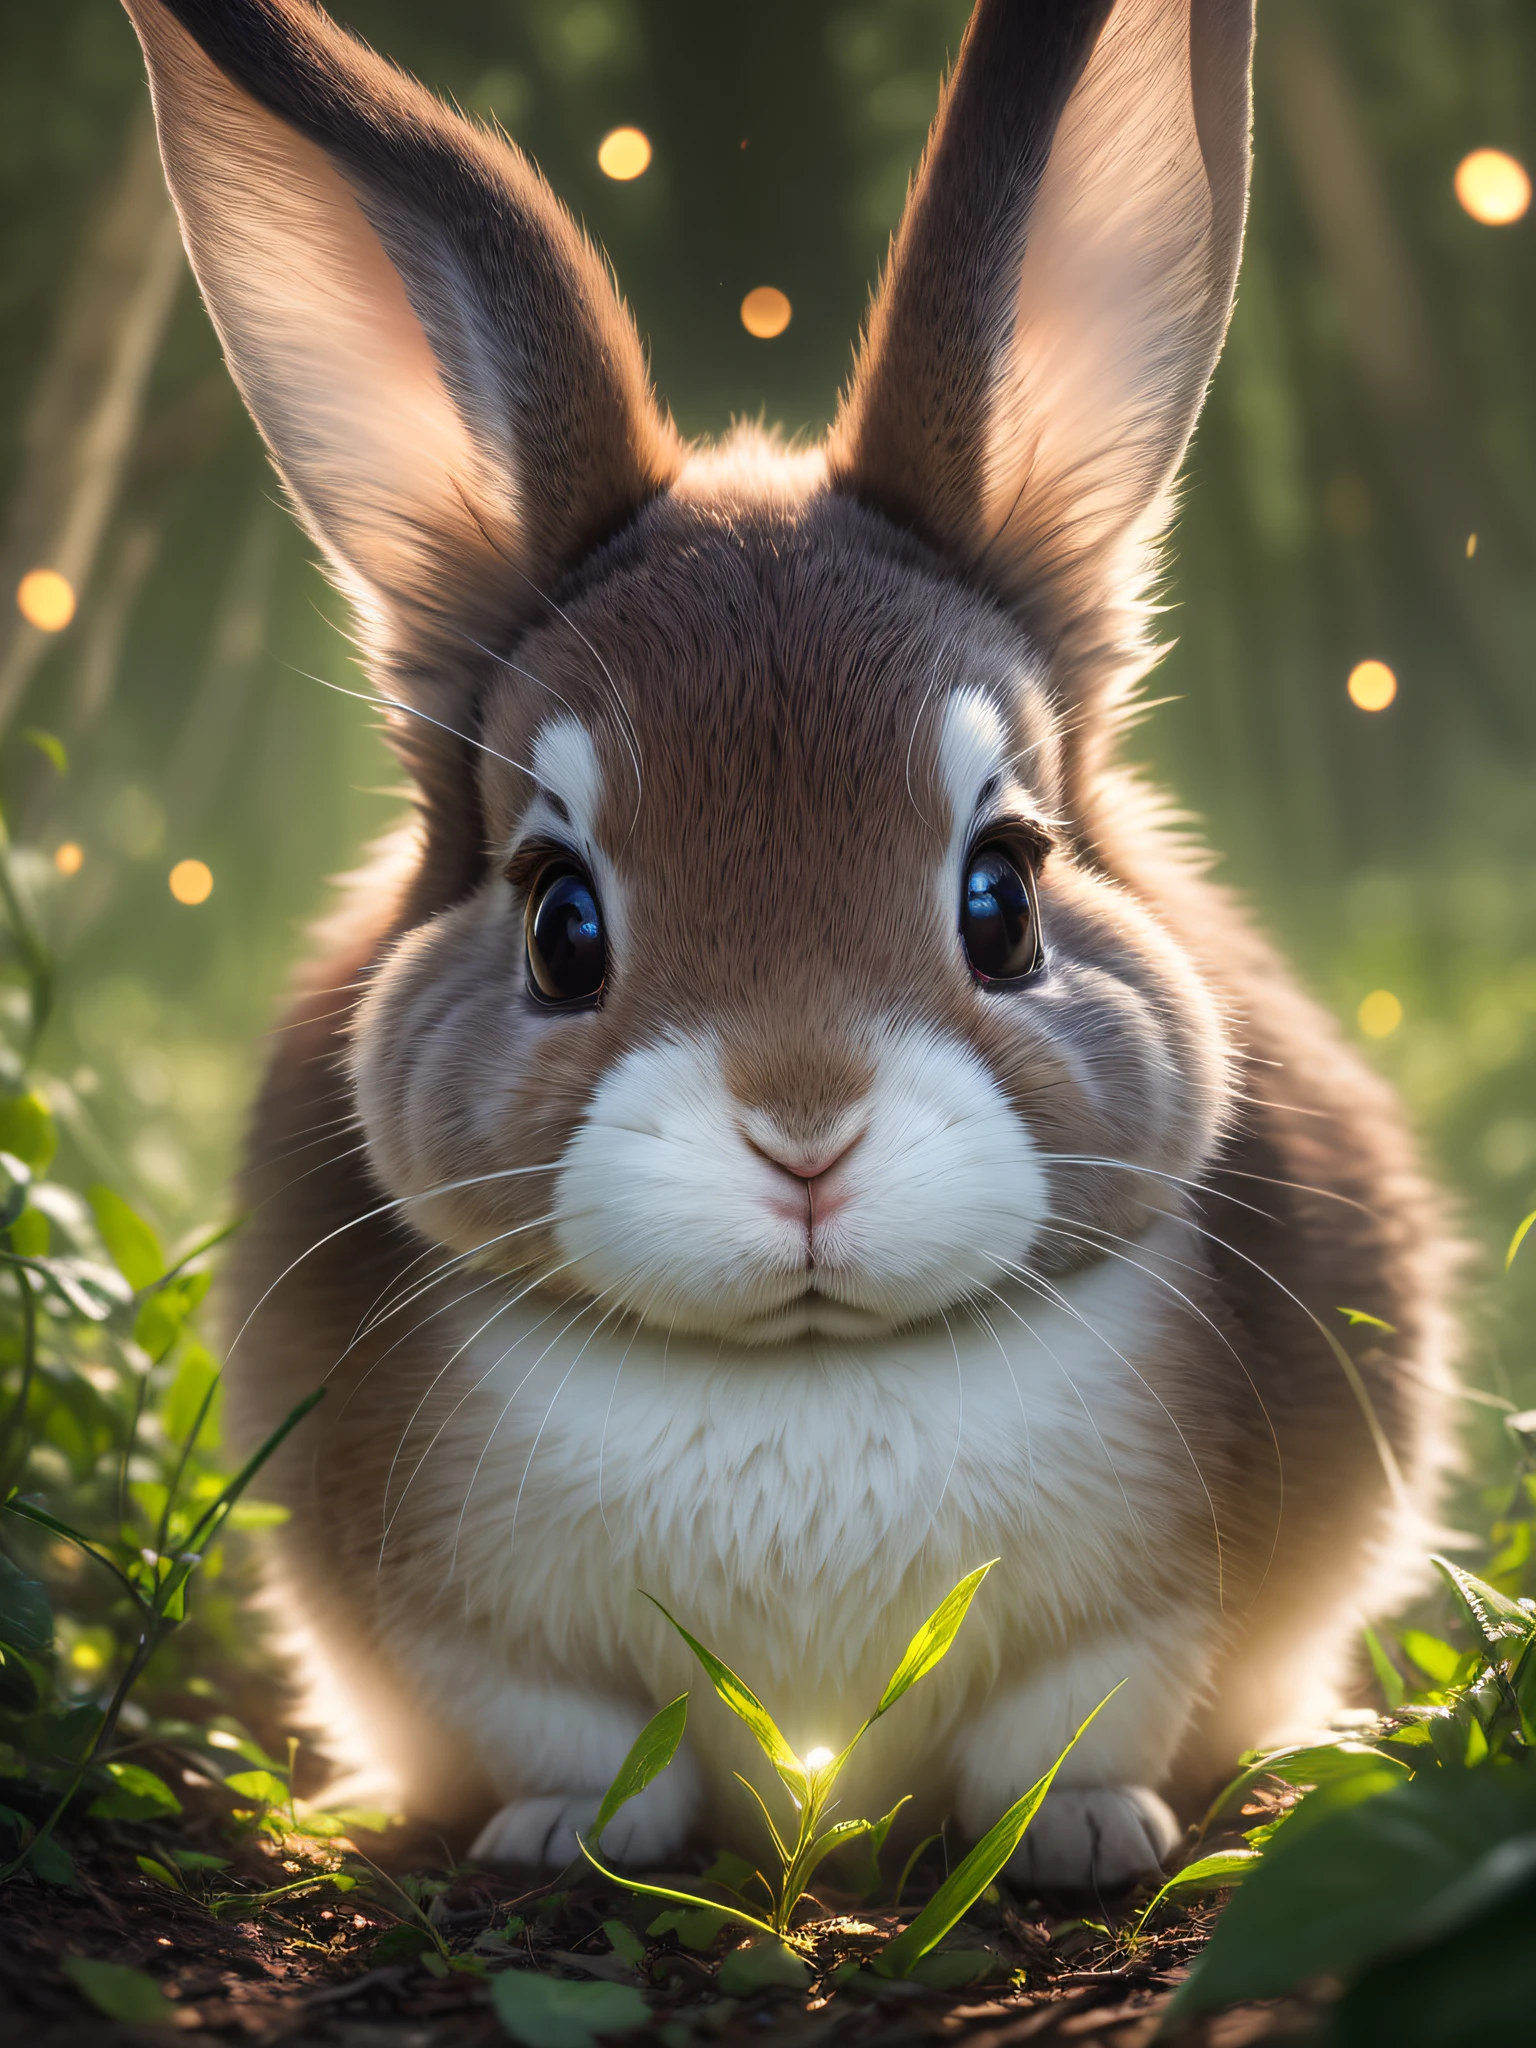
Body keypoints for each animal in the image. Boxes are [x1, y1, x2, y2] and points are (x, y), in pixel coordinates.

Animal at [123, 0, 1458, 1884]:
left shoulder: (1150, 1619)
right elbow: (578, 1738)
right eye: (560, 922)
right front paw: (560, 1837)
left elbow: (1075, 1721)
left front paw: (1087, 1835)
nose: (806, 1134)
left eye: (1003, 895)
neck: (807, 1378)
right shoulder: (477, 1643)